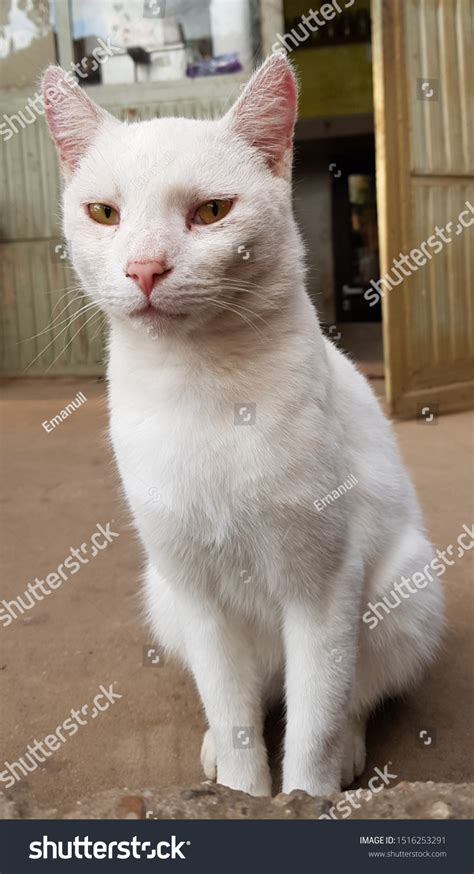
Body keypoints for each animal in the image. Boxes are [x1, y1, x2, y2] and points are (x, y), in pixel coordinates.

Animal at [42, 52, 442, 792]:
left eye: (212, 211)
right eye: (105, 213)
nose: (144, 268)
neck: (205, 389)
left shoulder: (326, 585)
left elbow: (314, 723)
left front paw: (306, 793)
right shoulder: (197, 595)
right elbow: (232, 712)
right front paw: (239, 789)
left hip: (408, 591)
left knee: (355, 693)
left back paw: (349, 748)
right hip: (162, 594)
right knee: (253, 697)